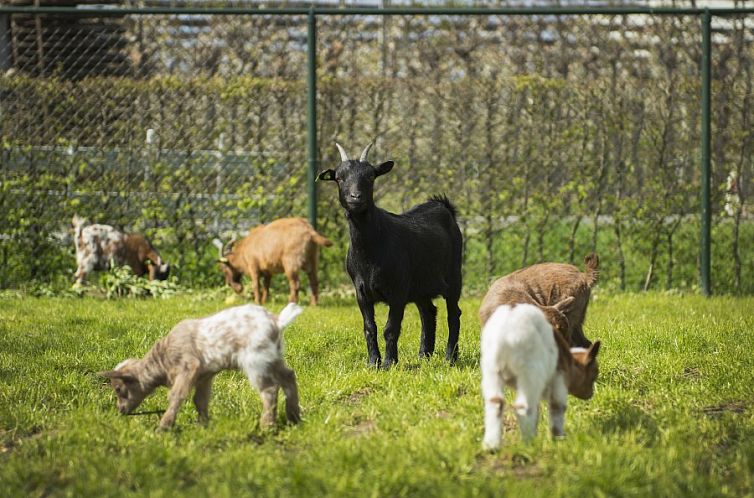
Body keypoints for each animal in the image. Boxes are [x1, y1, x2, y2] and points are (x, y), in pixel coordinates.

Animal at [316, 142, 462, 368]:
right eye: (339, 177)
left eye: (370, 176)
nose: (355, 197)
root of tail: (442, 206)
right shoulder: (361, 292)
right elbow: (370, 328)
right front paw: (372, 362)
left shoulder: (398, 291)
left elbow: (390, 328)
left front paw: (388, 363)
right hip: (420, 285)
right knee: (428, 312)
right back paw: (424, 355)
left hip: (454, 277)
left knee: (453, 314)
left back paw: (450, 358)